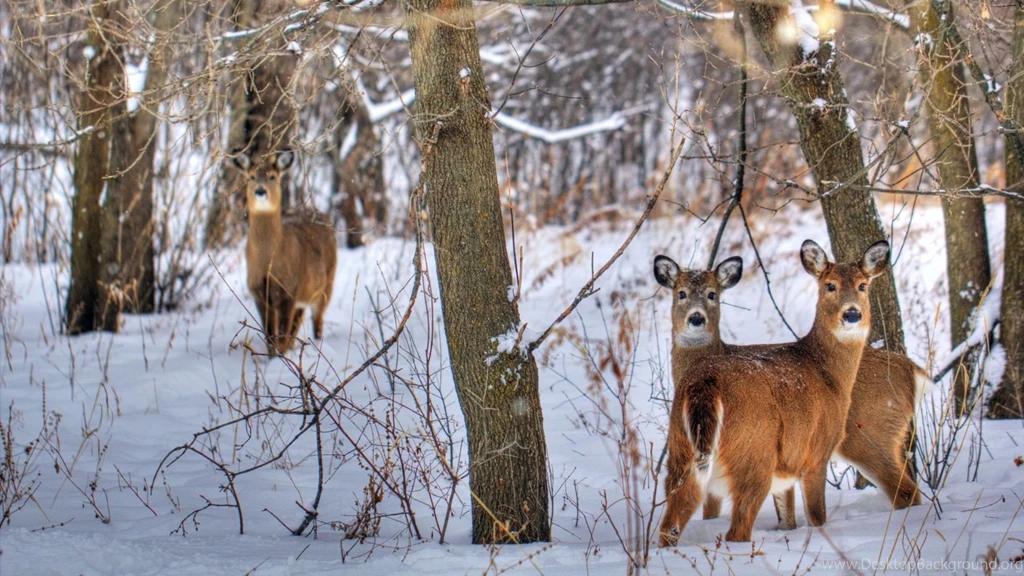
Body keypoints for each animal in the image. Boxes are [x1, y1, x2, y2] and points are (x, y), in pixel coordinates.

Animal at [232, 149, 338, 355]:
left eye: (272, 176)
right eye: (251, 176)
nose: (260, 191)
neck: (268, 262)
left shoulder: (288, 289)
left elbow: (280, 337)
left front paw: (281, 358)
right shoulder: (259, 292)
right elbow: (270, 337)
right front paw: (273, 357)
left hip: (326, 284)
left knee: (318, 319)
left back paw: (317, 342)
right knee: (298, 323)